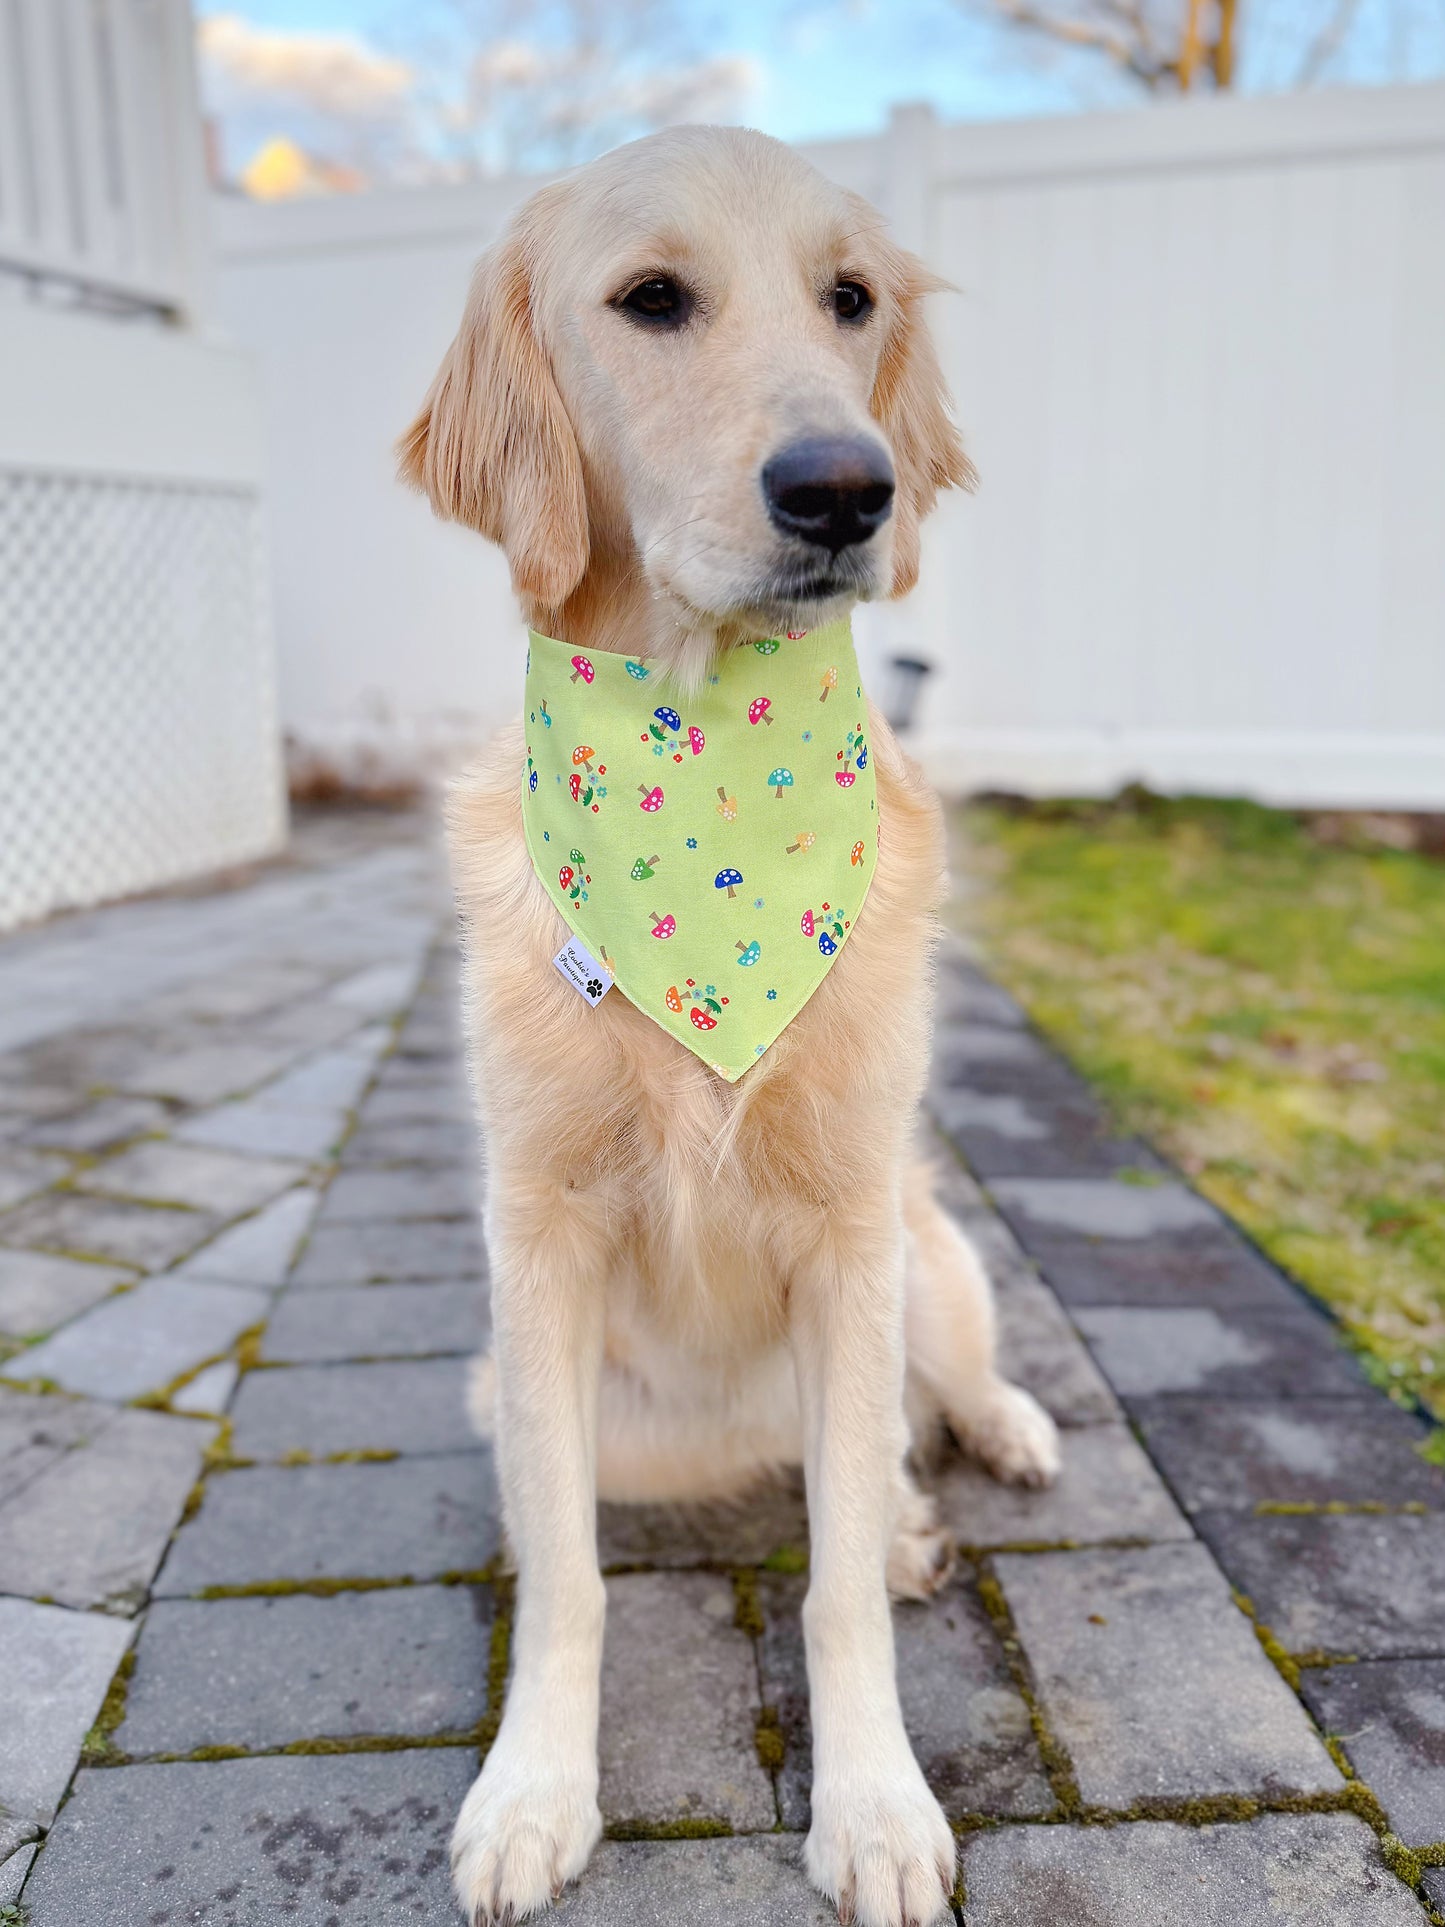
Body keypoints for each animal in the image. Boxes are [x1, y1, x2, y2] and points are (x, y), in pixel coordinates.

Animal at [404, 124, 1063, 1927]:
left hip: (928, 1256)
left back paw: (987, 1450)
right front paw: (534, 1790)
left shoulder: (851, 1228)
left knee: (933, 1407)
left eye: (851, 300)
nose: (847, 489)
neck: (706, 769)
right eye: (650, 300)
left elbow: (831, 1589)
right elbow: (564, 1576)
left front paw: (880, 1808)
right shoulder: (538, 1241)